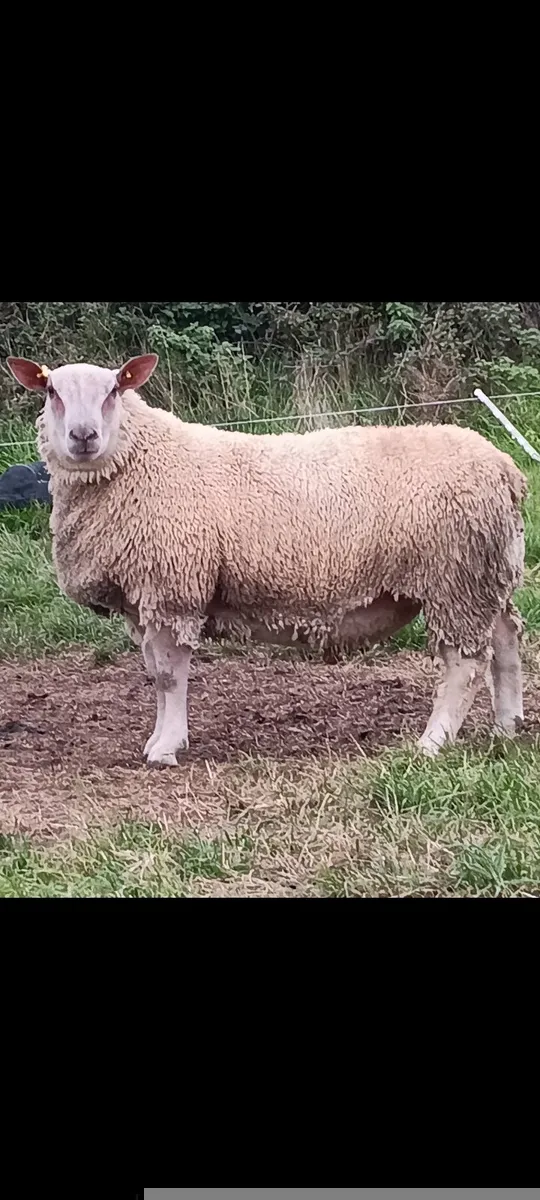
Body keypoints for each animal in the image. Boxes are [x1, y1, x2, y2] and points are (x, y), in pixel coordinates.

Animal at [6, 353, 527, 764]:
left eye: (114, 389)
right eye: (51, 390)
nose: (83, 436)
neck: (141, 461)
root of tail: (504, 467)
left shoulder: (175, 589)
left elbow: (170, 677)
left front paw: (166, 748)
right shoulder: (145, 598)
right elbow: (154, 675)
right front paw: (158, 739)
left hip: (455, 579)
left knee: (464, 664)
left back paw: (433, 741)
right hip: (489, 574)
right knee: (506, 640)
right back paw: (507, 727)